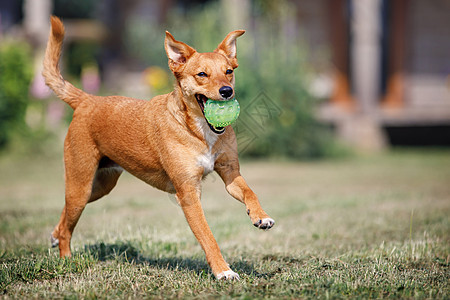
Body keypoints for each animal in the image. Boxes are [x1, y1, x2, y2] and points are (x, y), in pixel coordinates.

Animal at [43, 15, 274, 278]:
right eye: (202, 74)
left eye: (228, 72)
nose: (227, 91)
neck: (199, 130)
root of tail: (87, 100)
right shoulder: (188, 194)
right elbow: (208, 236)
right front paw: (223, 272)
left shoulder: (230, 173)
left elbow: (250, 192)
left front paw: (261, 217)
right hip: (80, 185)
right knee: (68, 226)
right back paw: (66, 259)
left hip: (100, 186)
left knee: (65, 215)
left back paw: (54, 236)